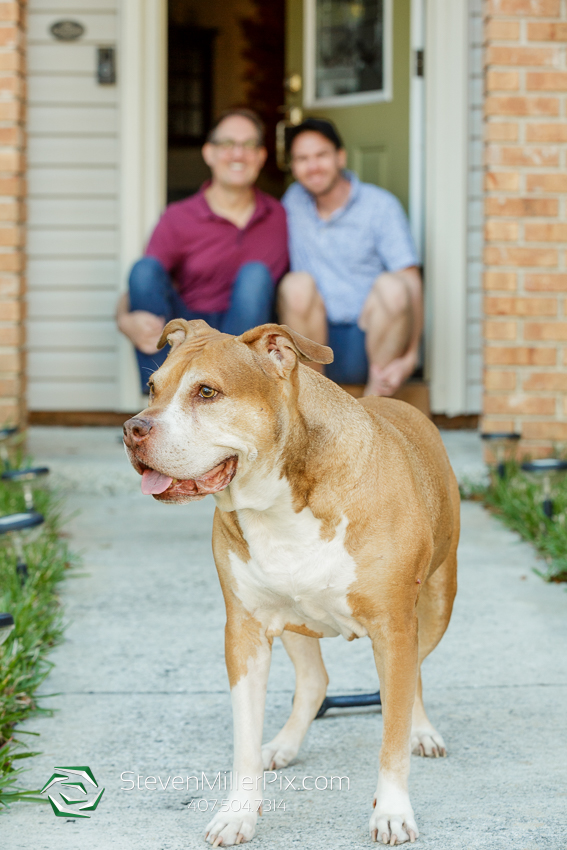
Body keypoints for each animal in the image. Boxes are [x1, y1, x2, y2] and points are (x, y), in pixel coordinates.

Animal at [122, 318, 460, 840]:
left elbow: (393, 733)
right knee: (315, 680)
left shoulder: (395, 627)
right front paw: (238, 811)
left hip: (437, 605)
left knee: (416, 676)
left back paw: (422, 731)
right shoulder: (244, 632)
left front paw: (392, 811)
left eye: (206, 392)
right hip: (295, 621)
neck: (280, 502)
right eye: (153, 388)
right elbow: (244, 736)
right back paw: (283, 744)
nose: (133, 429)